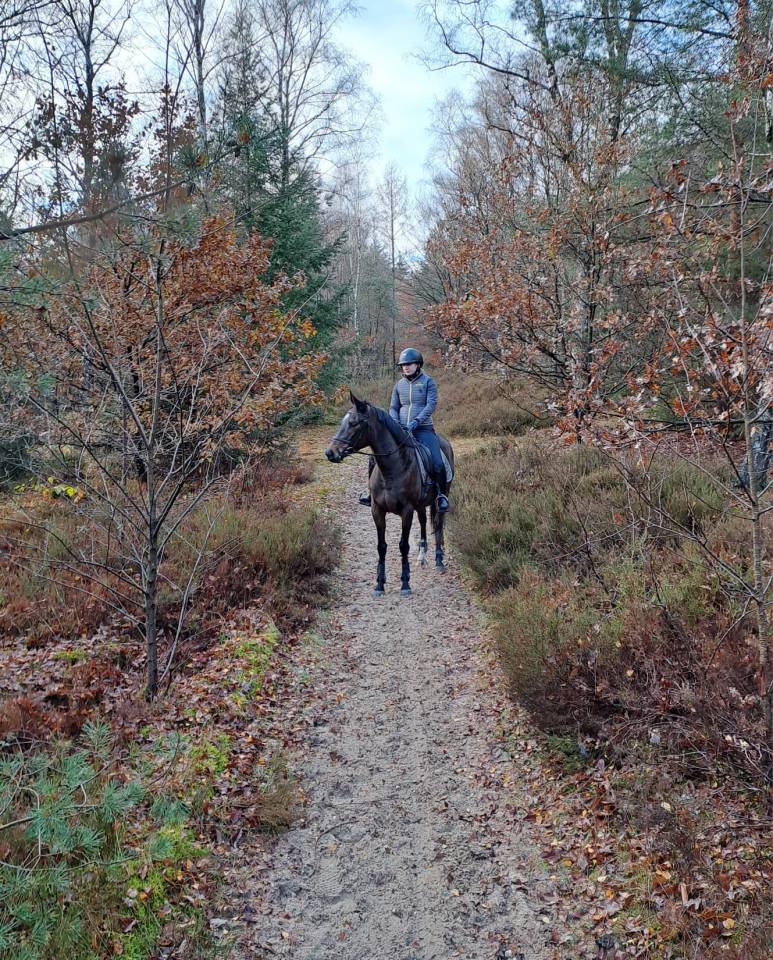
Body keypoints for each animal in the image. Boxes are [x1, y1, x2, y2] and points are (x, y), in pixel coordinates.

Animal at [325, 391, 454, 597]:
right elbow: (382, 546)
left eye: (354, 423)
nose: (330, 453)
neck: (392, 469)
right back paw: (422, 556)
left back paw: (439, 560)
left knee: (438, 524)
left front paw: (405, 584)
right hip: (420, 505)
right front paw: (379, 584)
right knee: (424, 523)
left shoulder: (406, 511)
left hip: (439, 499)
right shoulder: (377, 510)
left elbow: (403, 545)